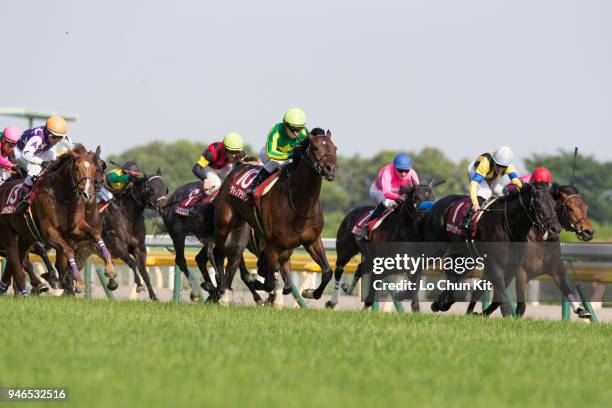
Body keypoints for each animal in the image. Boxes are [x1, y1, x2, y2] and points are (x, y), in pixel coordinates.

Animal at [0, 145, 115, 294]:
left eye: (98, 166)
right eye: (76, 168)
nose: (87, 194)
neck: (63, 196)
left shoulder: (76, 229)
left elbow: (96, 235)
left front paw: (110, 268)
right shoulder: (50, 233)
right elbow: (68, 251)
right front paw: (78, 283)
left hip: (25, 238)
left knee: (17, 262)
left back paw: (8, 286)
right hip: (8, 235)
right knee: (16, 262)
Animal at [212, 130, 338, 306]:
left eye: (335, 148)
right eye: (315, 148)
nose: (330, 169)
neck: (300, 204)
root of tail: (237, 168)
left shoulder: (312, 241)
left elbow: (326, 272)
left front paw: (310, 292)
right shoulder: (272, 245)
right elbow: (270, 282)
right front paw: (257, 284)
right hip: (224, 224)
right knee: (218, 253)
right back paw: (223, 291)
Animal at [330, 182, 436, 310]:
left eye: (433, 199)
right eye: (417, 198)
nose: (426, 216)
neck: (404, 233)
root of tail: (351, 212)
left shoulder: (413, 265)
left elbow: (412, 290)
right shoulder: (380, 264)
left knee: (360, 268)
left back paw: (347, 289)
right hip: (345, 251)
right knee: (339, 270)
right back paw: (332, 301)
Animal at [412, 183, 560, 318]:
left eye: (554, 204)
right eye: (539, 205)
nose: (556, 228)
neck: (507, 225)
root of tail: (434, 206)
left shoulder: (511, 266)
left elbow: (484, 291)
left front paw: (475, 313)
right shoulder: (496, 264)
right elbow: (499, 288)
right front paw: (506, 314)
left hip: (464, 256)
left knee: (453, 275)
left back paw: (442, 303)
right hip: (434, 248)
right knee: (418, 267)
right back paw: (415, 304)